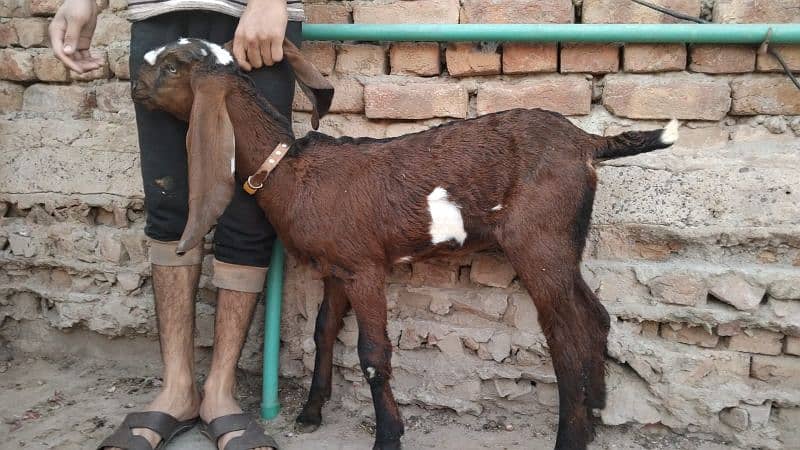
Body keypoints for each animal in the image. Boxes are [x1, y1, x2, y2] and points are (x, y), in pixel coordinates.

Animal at [133, 38, 680, 450]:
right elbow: (324, 332)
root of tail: (589, 143)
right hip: (564, 243)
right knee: (595, 317)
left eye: (173, 66)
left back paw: (571, 436)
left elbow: (373, 352)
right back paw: (597, 409)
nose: (135, 84)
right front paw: (311, 411)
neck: (291, 169)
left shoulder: (365, 266)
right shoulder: (337, 267)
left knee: (566, 335)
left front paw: (388, 436)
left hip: (539, 241)